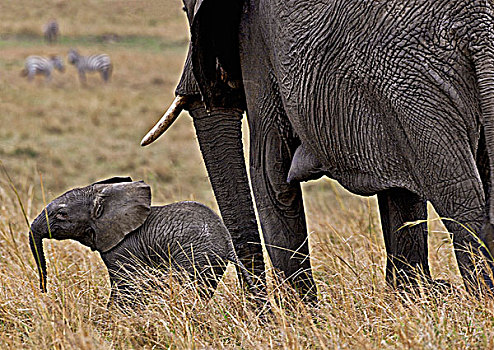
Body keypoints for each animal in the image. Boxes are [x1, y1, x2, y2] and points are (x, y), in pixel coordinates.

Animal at [29, 176, 255, 304]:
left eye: (62, 214)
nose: (44, 291)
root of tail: (227, 240)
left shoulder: (123, 248)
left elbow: (126, 286)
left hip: (197, 256)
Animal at [143, 0, 494, 298]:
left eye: (186, 10)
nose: (259, 312)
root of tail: (478, 24)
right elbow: (401, 196)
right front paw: (407, 301)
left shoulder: (256, 40)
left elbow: (268, 174)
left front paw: (296, 321)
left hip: (414, 83)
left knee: (461, 205)